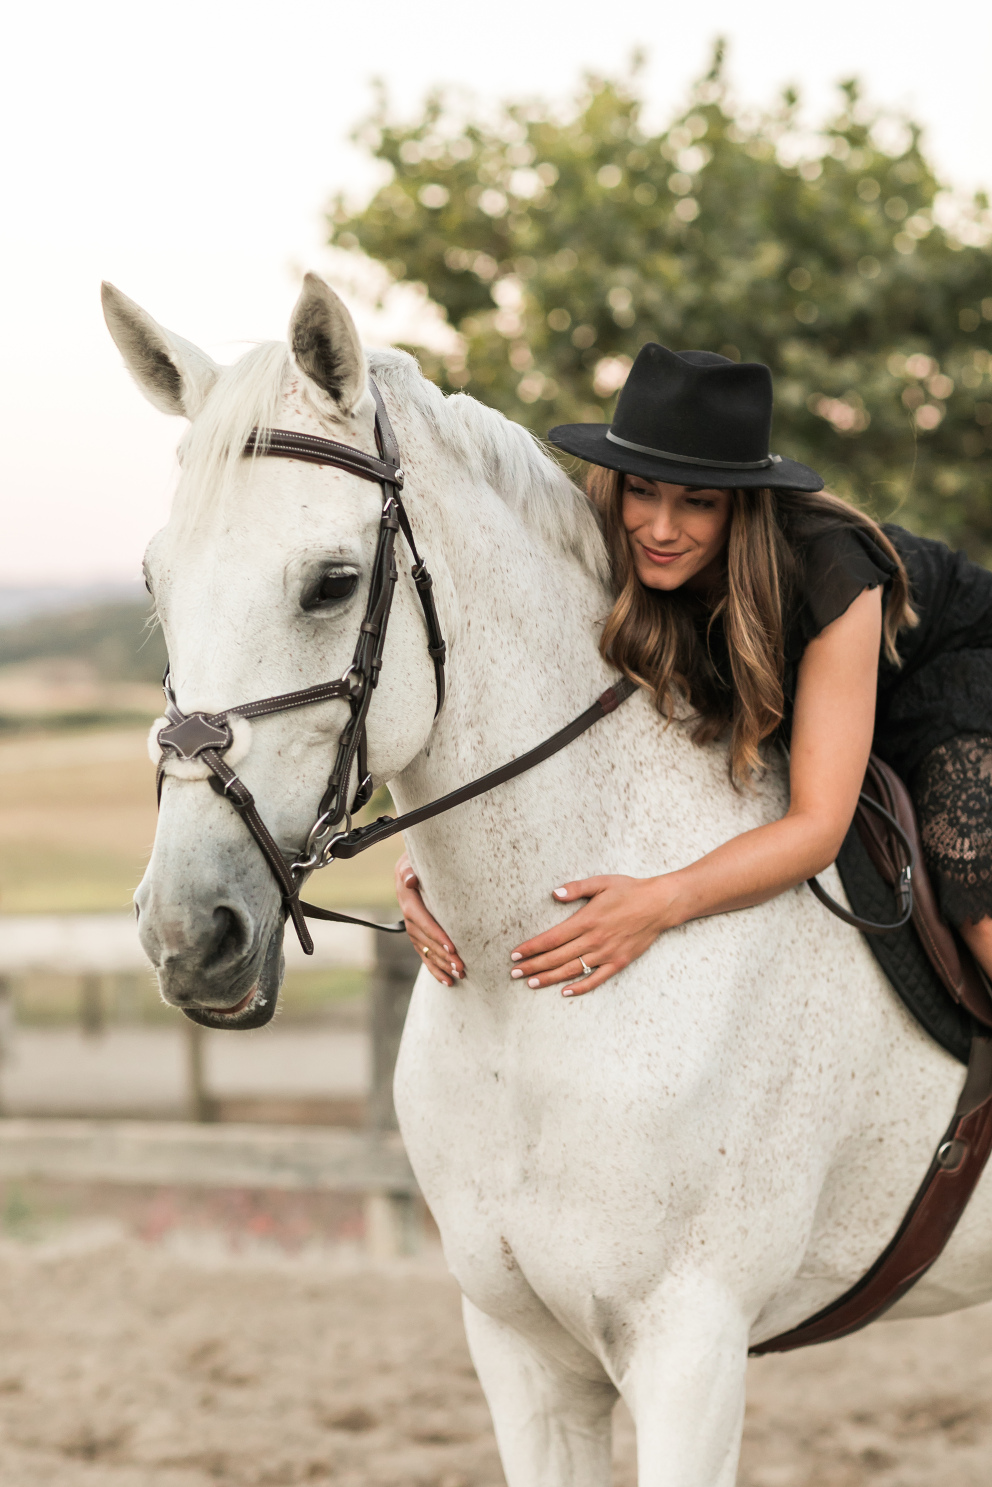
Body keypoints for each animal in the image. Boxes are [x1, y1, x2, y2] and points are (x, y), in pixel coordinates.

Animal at [107, 276, 992, 1475]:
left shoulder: (689, 1351)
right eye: (158, 579)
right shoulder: (521, 1350)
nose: (189, 935)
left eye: (331, 584)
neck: (522, 1004)